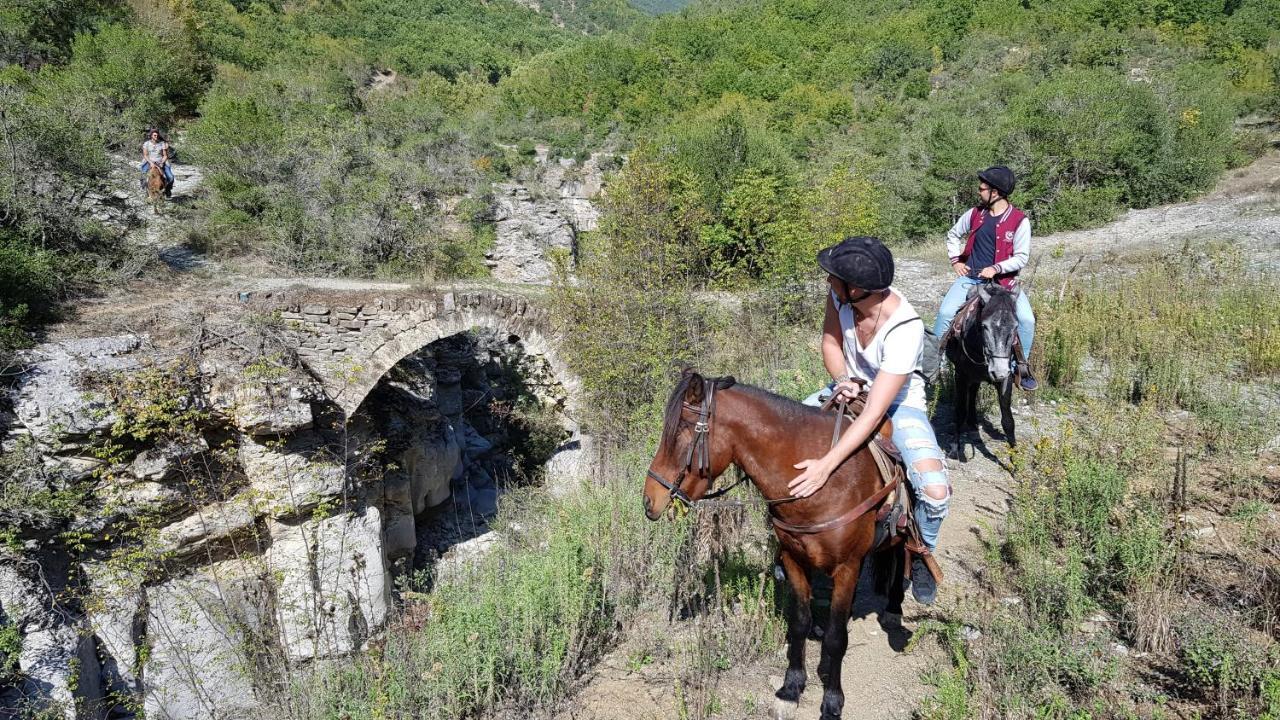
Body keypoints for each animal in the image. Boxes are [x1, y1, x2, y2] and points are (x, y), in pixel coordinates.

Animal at [645, 368, 906, 717]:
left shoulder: (847, 567)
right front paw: (792, 685)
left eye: (680, 433)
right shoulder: (794, 560)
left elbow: (837, 638)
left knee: (903, 555)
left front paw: (832, 700)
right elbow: (799, 622)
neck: (821, 481)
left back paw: (893, 606)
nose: (649, 500)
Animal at [942, 281, 1018, 458]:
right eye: (984, 326)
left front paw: (1015, 456)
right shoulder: (961, 375)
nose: (998, 372)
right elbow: (960, 410)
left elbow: (1008, 420)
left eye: (1015, 327)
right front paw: (954, 448)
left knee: (974, 391)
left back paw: (973, 423)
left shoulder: (1007, 377)